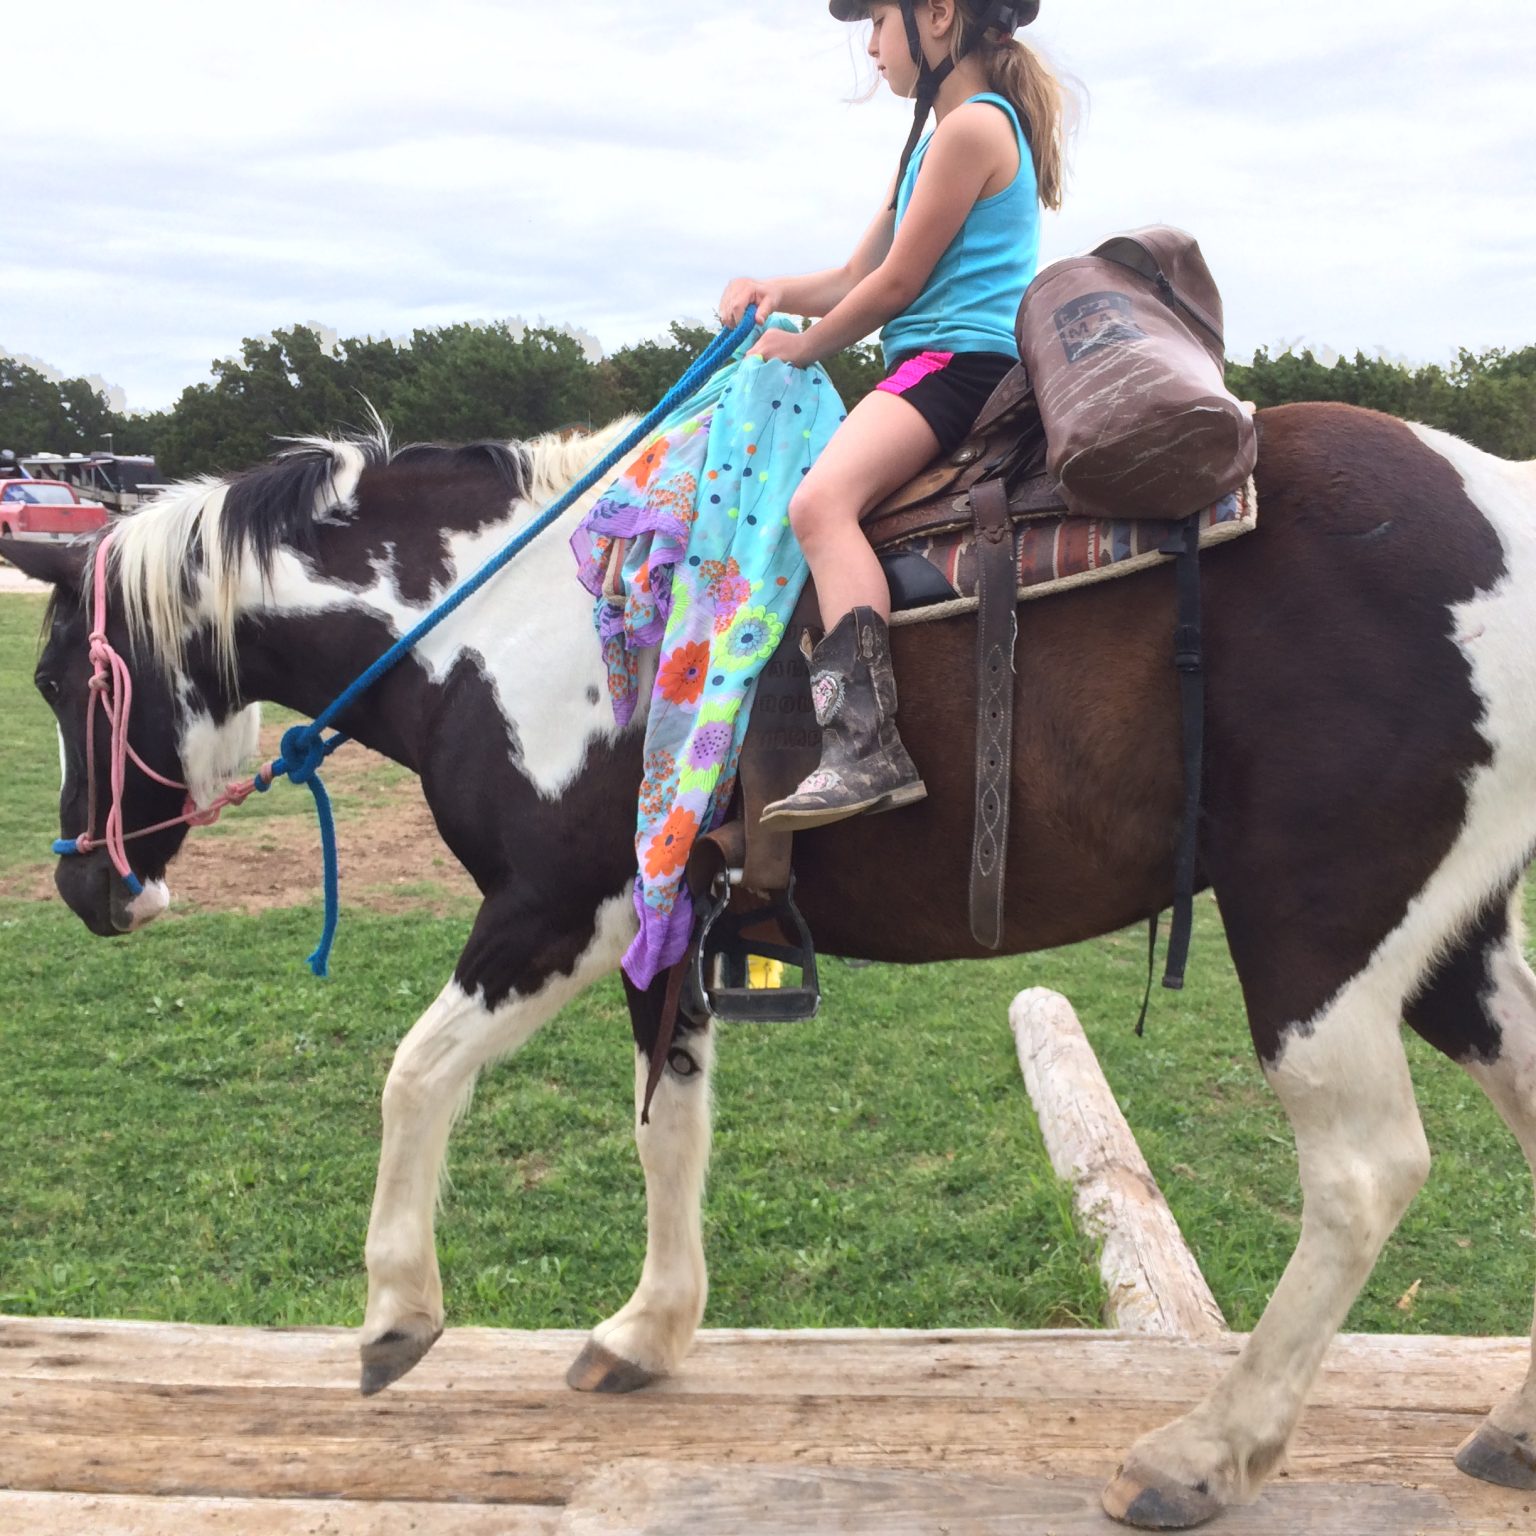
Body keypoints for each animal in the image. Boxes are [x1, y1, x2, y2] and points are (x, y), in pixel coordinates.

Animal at [9, 402, 1536, 1529]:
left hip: (1317, 930)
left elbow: (417, 1074)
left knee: (1363, 1176)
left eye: (52, 680)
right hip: (1449, 938)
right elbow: (670, 1125)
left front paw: (397, 1315)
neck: (509, 622)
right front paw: (648, 1333)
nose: (86, 882)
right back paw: (1507, 1428)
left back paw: (1203, 1453)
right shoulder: (670, 940)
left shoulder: (559, 914)